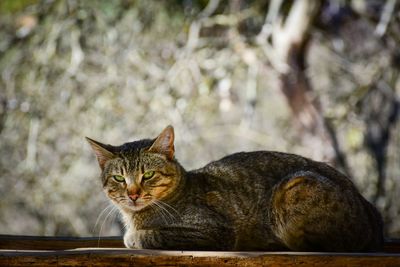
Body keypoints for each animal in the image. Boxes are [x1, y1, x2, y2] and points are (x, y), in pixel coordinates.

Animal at [87, 125, 384, 251]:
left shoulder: (212, 230)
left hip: (293, 188)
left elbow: (151, 235)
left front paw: (134, 237)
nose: (133, 194)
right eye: (119, 179)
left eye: (147, 175)